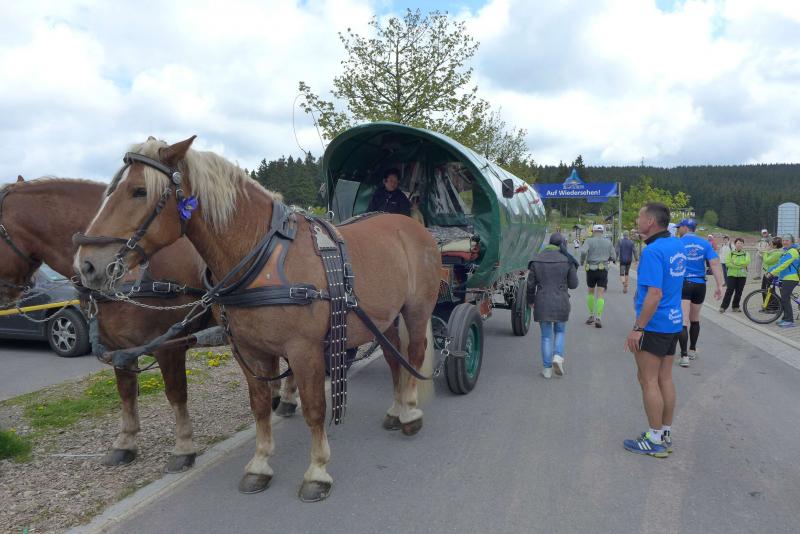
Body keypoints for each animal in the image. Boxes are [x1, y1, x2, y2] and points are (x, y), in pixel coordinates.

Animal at [0, 176, 287, 473]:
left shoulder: (169, 347)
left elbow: (176, 394)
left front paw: (183, 447)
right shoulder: (118, 348)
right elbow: (126, 393)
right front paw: (125, 443)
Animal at [76, 136, 441, 501]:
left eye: (138, 191)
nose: (87, 264)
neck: (262, 258)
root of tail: (413, 226)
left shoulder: (304, 350)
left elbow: (314, 409)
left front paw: (317, 470)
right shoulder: (250, 351)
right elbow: (261, 405)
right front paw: (260, 465)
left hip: (415, 311)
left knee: (415, 354)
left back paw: (410, 412)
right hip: (385, 320)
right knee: (395, 361)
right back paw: (396, 410)